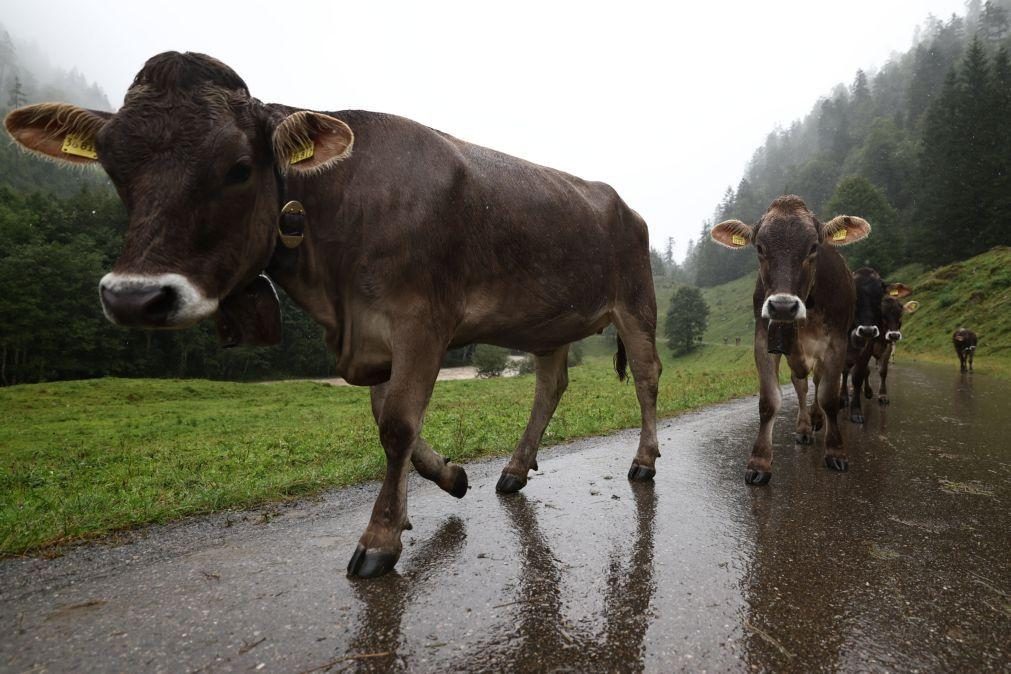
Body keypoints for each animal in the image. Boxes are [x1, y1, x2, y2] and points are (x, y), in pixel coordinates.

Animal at [7, 52, 667, 582]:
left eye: (239, 167)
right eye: (114, 169)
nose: (134, 297)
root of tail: (625, 205)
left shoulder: (421, 321)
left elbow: (397, 425)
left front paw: (380, 540)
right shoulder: (373, 336)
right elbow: (391, 420)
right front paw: (448, 478)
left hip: (637, 303)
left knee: (646, 377)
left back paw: (641, 461)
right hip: (547, 321)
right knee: (550, 384)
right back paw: (514, 469)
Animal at [711, 195, 869, 485]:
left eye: (814, 246)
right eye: (760, 247)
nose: (783, 306)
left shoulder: (836, 343)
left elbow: (829, 397)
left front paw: (835, 451)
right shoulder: (764, 339)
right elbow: (769, 401)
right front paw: (760, 461)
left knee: (817, 383)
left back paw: (817, 420)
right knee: (802, 384)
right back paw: (805, 427)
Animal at [841, 270, 913, 422]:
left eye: (900, 313)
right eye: (883, 314)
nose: (894, 335)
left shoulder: (881, 347)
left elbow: (870, 373)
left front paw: (880, 395)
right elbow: (848, 371)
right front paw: (845, 398)